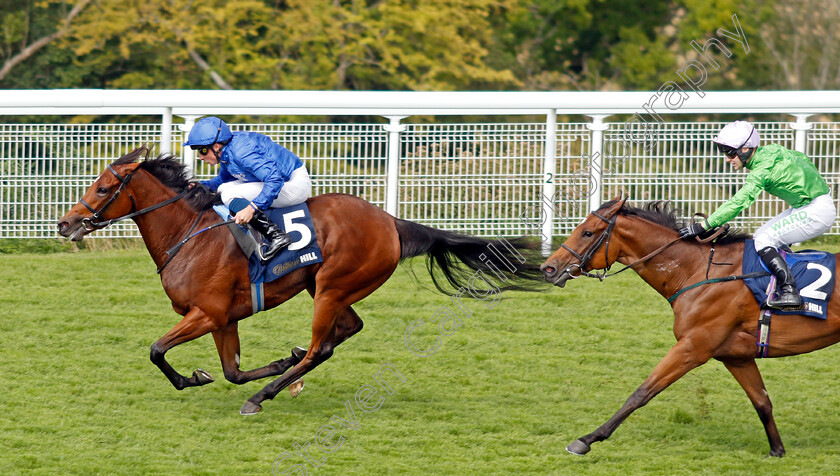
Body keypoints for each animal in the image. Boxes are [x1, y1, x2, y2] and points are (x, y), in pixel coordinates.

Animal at [59, 147, 544, 414]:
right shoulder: (224, 318)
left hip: (331, 287)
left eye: (103, 189)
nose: (66, 224)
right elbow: (232, 371)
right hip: (328, 288)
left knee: (319, 348)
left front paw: (195, 379)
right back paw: (284, 373)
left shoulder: (207, 313)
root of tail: (390, 222)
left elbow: (158, 350)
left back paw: (266, 393)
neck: (189, 234)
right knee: (345, 331)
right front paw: (265, 365)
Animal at [540, 197, 840, 458]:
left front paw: (587, 439)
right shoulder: (736, 356)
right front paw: (777, 450)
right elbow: (762, 402)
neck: (697, 271)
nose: (548, 268)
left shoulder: (693, 347)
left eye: (587, 232)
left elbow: (641, 393)